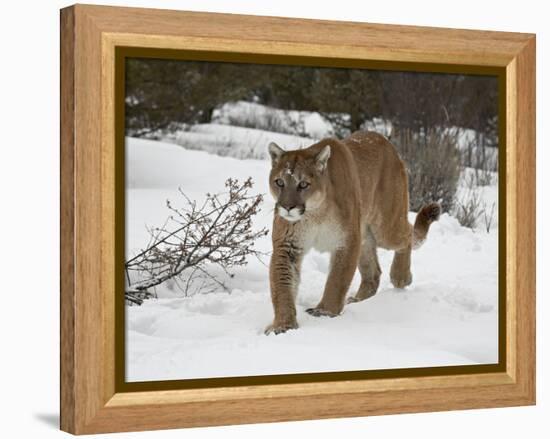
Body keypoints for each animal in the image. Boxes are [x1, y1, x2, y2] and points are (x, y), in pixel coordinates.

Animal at [266, 131, 442, 334]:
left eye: (303, 184)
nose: (287, 207)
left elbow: (337, 280)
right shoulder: (288, 246)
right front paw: (283, 325)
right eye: (279, 182)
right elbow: (282, 286)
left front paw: (325, 312)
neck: (314, 213)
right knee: (373, 273)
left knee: (406, 236)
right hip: (365, 237)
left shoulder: (347, 241)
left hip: (386, 227)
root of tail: (385, 141)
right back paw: (357, 301)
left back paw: (401, 277)